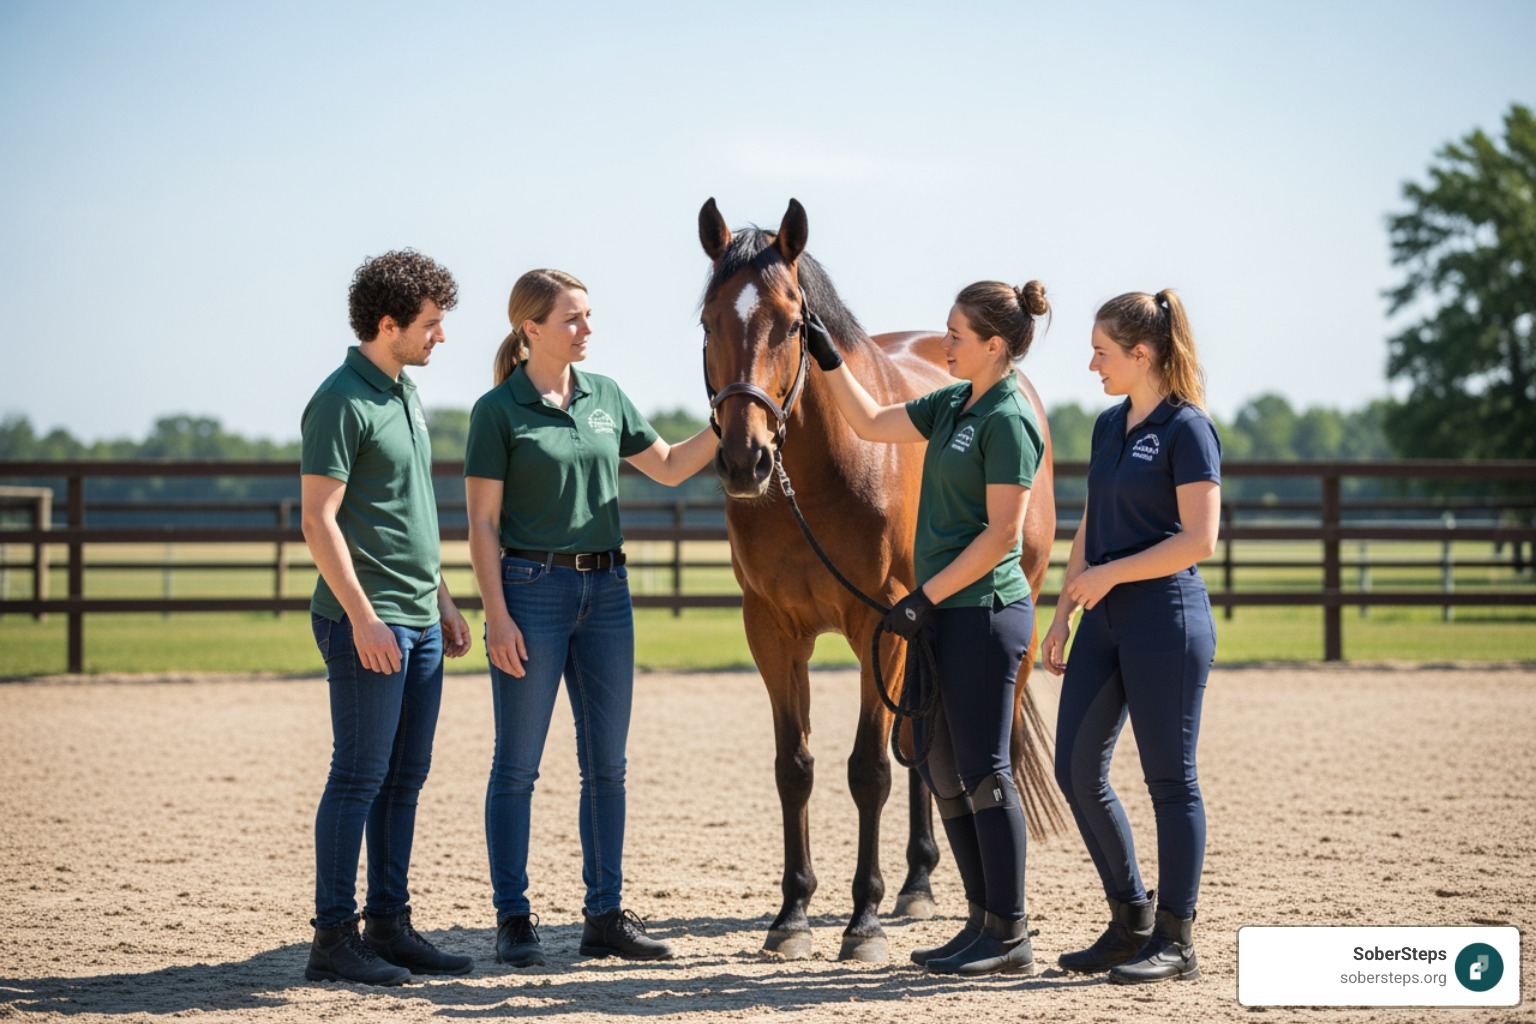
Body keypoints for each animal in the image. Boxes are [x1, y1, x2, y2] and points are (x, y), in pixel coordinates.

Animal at [697, 197, 1064, 962]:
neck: (820, 472)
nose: (745, 460)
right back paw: (919, 883)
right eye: (709, 321)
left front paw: (860, 922)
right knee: (925, 749)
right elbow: (795, 767)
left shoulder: (881, 623)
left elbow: (868, 770)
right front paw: (793, 915)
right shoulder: (771, 630)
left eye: (791, 323)